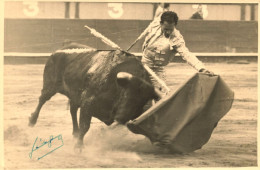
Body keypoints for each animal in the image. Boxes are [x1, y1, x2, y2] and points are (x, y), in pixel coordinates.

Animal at [27, 43, 158, 149]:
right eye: (126, 94)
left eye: (142, 101)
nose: (121, 118)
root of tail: (60, 50)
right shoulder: (87, 104)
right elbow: (85, 126)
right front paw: (79, 147)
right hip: (50, 86)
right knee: (42, 100)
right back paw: (32, 121)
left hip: (74, 95)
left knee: (72, 110)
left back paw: (75, 133)